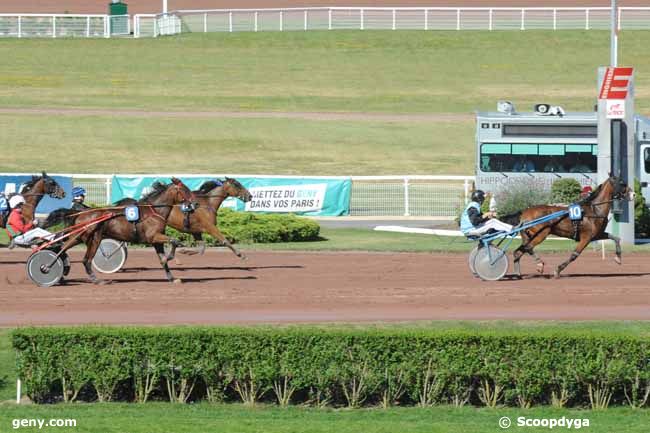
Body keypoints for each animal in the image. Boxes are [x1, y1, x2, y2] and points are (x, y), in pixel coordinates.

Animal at [55, 176, 194, 284]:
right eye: (184, 189)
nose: (194, 203)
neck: (154, 211)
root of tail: (80, 213)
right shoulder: (153, 236)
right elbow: (175, 241)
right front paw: (171, 257)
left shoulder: (156, 240)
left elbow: (164, 256)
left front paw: (172, 277)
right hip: (93, 239)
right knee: (84, 259)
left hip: (80, 237)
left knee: (66, 249)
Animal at [504, 175, 636, 278]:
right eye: (622, 183)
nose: (634, 194)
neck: (594, 210)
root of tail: (524, 213)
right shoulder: (586, 237)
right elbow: (574, 255)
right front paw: (558, 270)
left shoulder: (596, 235)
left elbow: (616, 238)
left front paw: (618, 258)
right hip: (541, 234)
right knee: (528, 247)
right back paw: (539, 264)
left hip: (529, 235)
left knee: (519, 251)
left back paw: (518, 274)